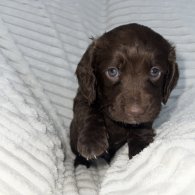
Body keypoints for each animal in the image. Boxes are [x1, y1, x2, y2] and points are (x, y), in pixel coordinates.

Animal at [69, 23, 179, 168]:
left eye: (155, 71)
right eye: (112, 71)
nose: (135, 112)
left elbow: (142, 125)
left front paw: (140, 149)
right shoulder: (84, 94)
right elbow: (88, 110)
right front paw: (91, 141)